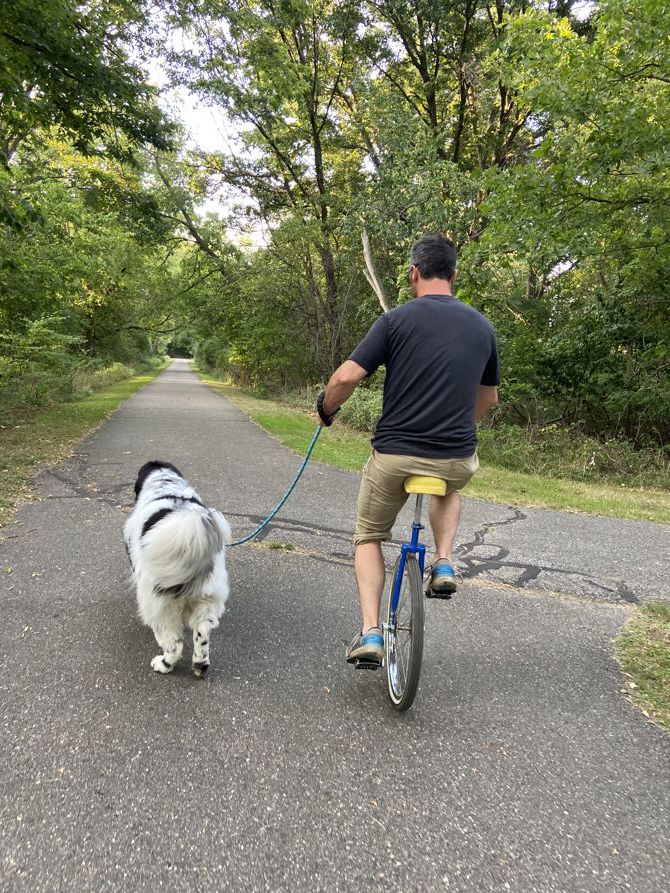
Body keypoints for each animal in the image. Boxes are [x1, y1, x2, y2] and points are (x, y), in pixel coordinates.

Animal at [124, 460, 232, 676]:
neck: (165, 483)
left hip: (158, 605)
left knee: (174, 644)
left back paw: (163, 665)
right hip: (208, 598)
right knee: (202, 633)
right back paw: (200, 665)